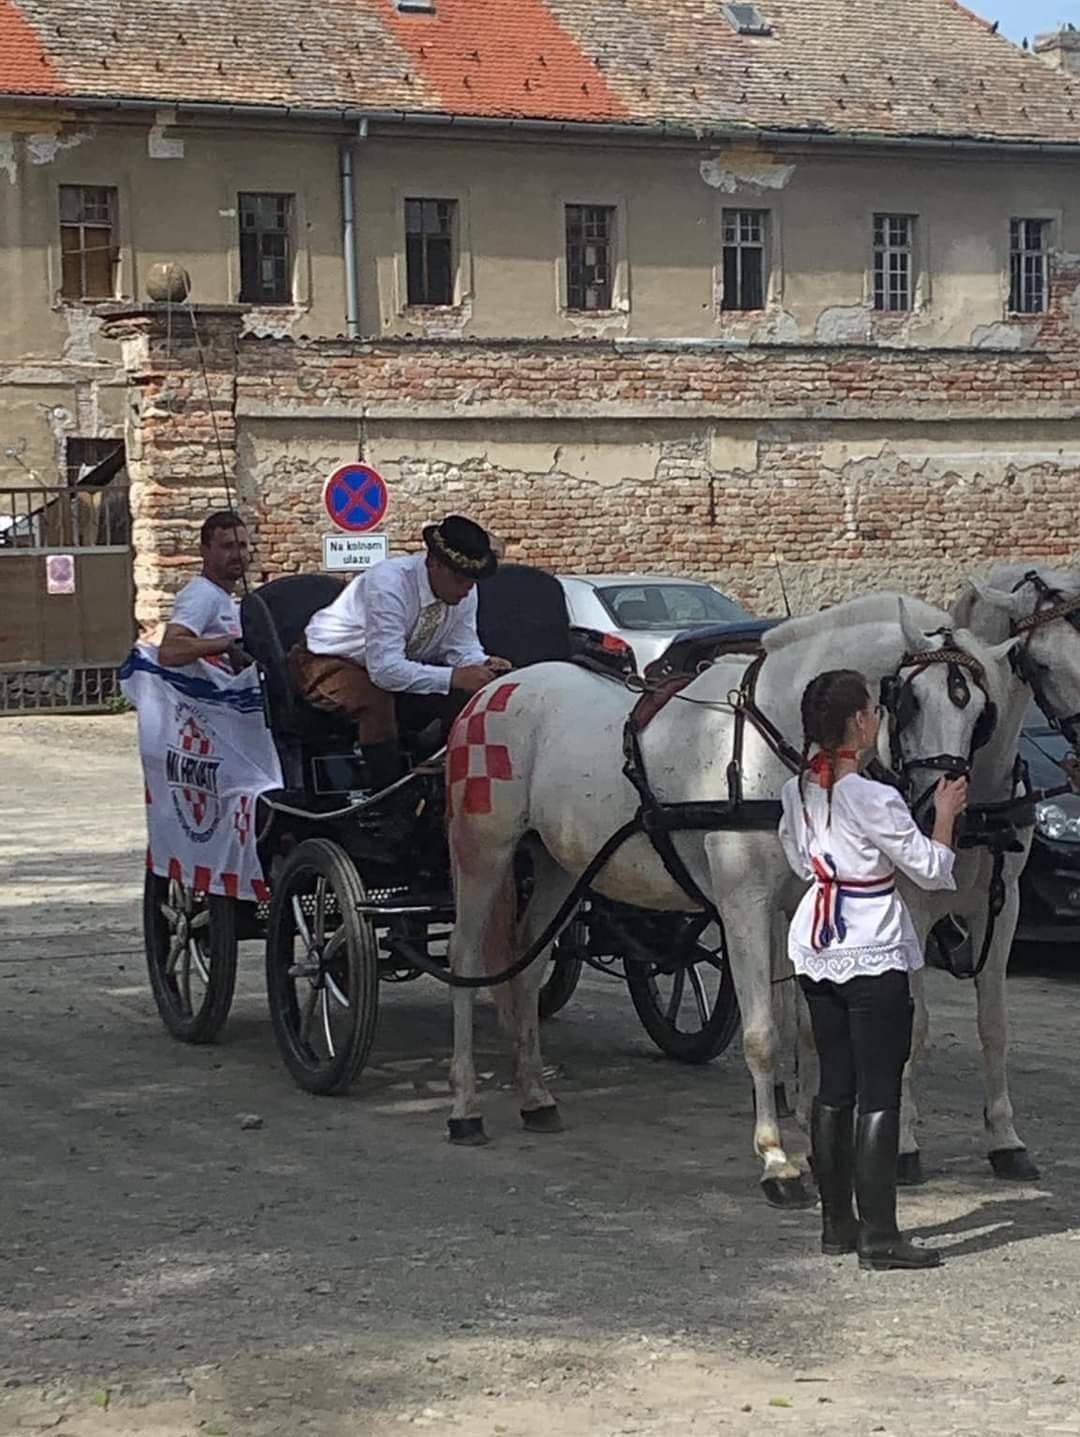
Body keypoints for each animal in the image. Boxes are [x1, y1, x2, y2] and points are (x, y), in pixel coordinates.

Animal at [445, 589, 1011, 1207]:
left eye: (981, 715)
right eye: (908, 702)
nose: (939, 811)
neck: (772, 747)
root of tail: (497, 688)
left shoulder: (799, 902)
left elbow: (807, 1029)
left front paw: (813, 1144)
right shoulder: (744, 902)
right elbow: (763, 1034)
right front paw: (777, 1159)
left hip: (559, 867)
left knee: (527, 966)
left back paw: (534, 1096)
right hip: (482, 853)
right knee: (464, 964)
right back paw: (464, 1107)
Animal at [890, 560, 1080, 1178]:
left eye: (980, 713)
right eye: (1038, 662)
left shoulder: (1003, 907)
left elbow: (994, 1023)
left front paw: (1005, 1138)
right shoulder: (910, 910)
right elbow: (913, 1025)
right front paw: (902, 1141)